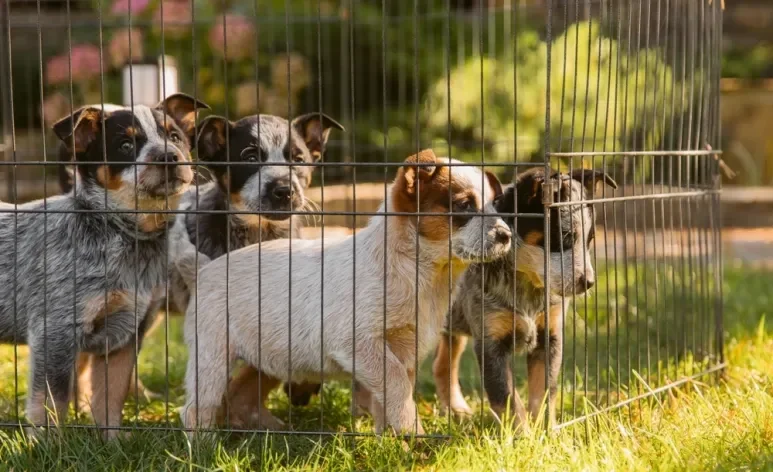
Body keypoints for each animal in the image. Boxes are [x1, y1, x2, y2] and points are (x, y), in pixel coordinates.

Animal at [0, 93, 208, 438]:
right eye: (125, 145)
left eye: (175, 137)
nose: (169, 156)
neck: (126, 236)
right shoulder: (56, 330)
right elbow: (52, 401)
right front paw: (48, 445)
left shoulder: (126, 334)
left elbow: (111, 398)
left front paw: (113, 442)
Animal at [177, 149, 510, 434]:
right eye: (464, 206)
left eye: (495, 205)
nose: (507, 235)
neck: (418, 271)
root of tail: (203, 270)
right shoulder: (359, 343)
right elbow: (399, 388)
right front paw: (414, 437)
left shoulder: (404, 348)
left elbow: (386, 401)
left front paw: (391, 441)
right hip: (212, 357)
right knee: (196, 408)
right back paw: (203, 448)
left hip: (265, 358)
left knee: (240, 396)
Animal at [432, 168, 620, 430]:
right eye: (563, 237)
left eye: (590, 240)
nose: (589, 283)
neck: (527, 286)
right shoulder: (491, 344)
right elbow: (507, 399)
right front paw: (522, 435)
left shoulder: (549, 337)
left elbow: (544, 393)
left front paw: (547, 431)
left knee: (443, 364)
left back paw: (457, 410)